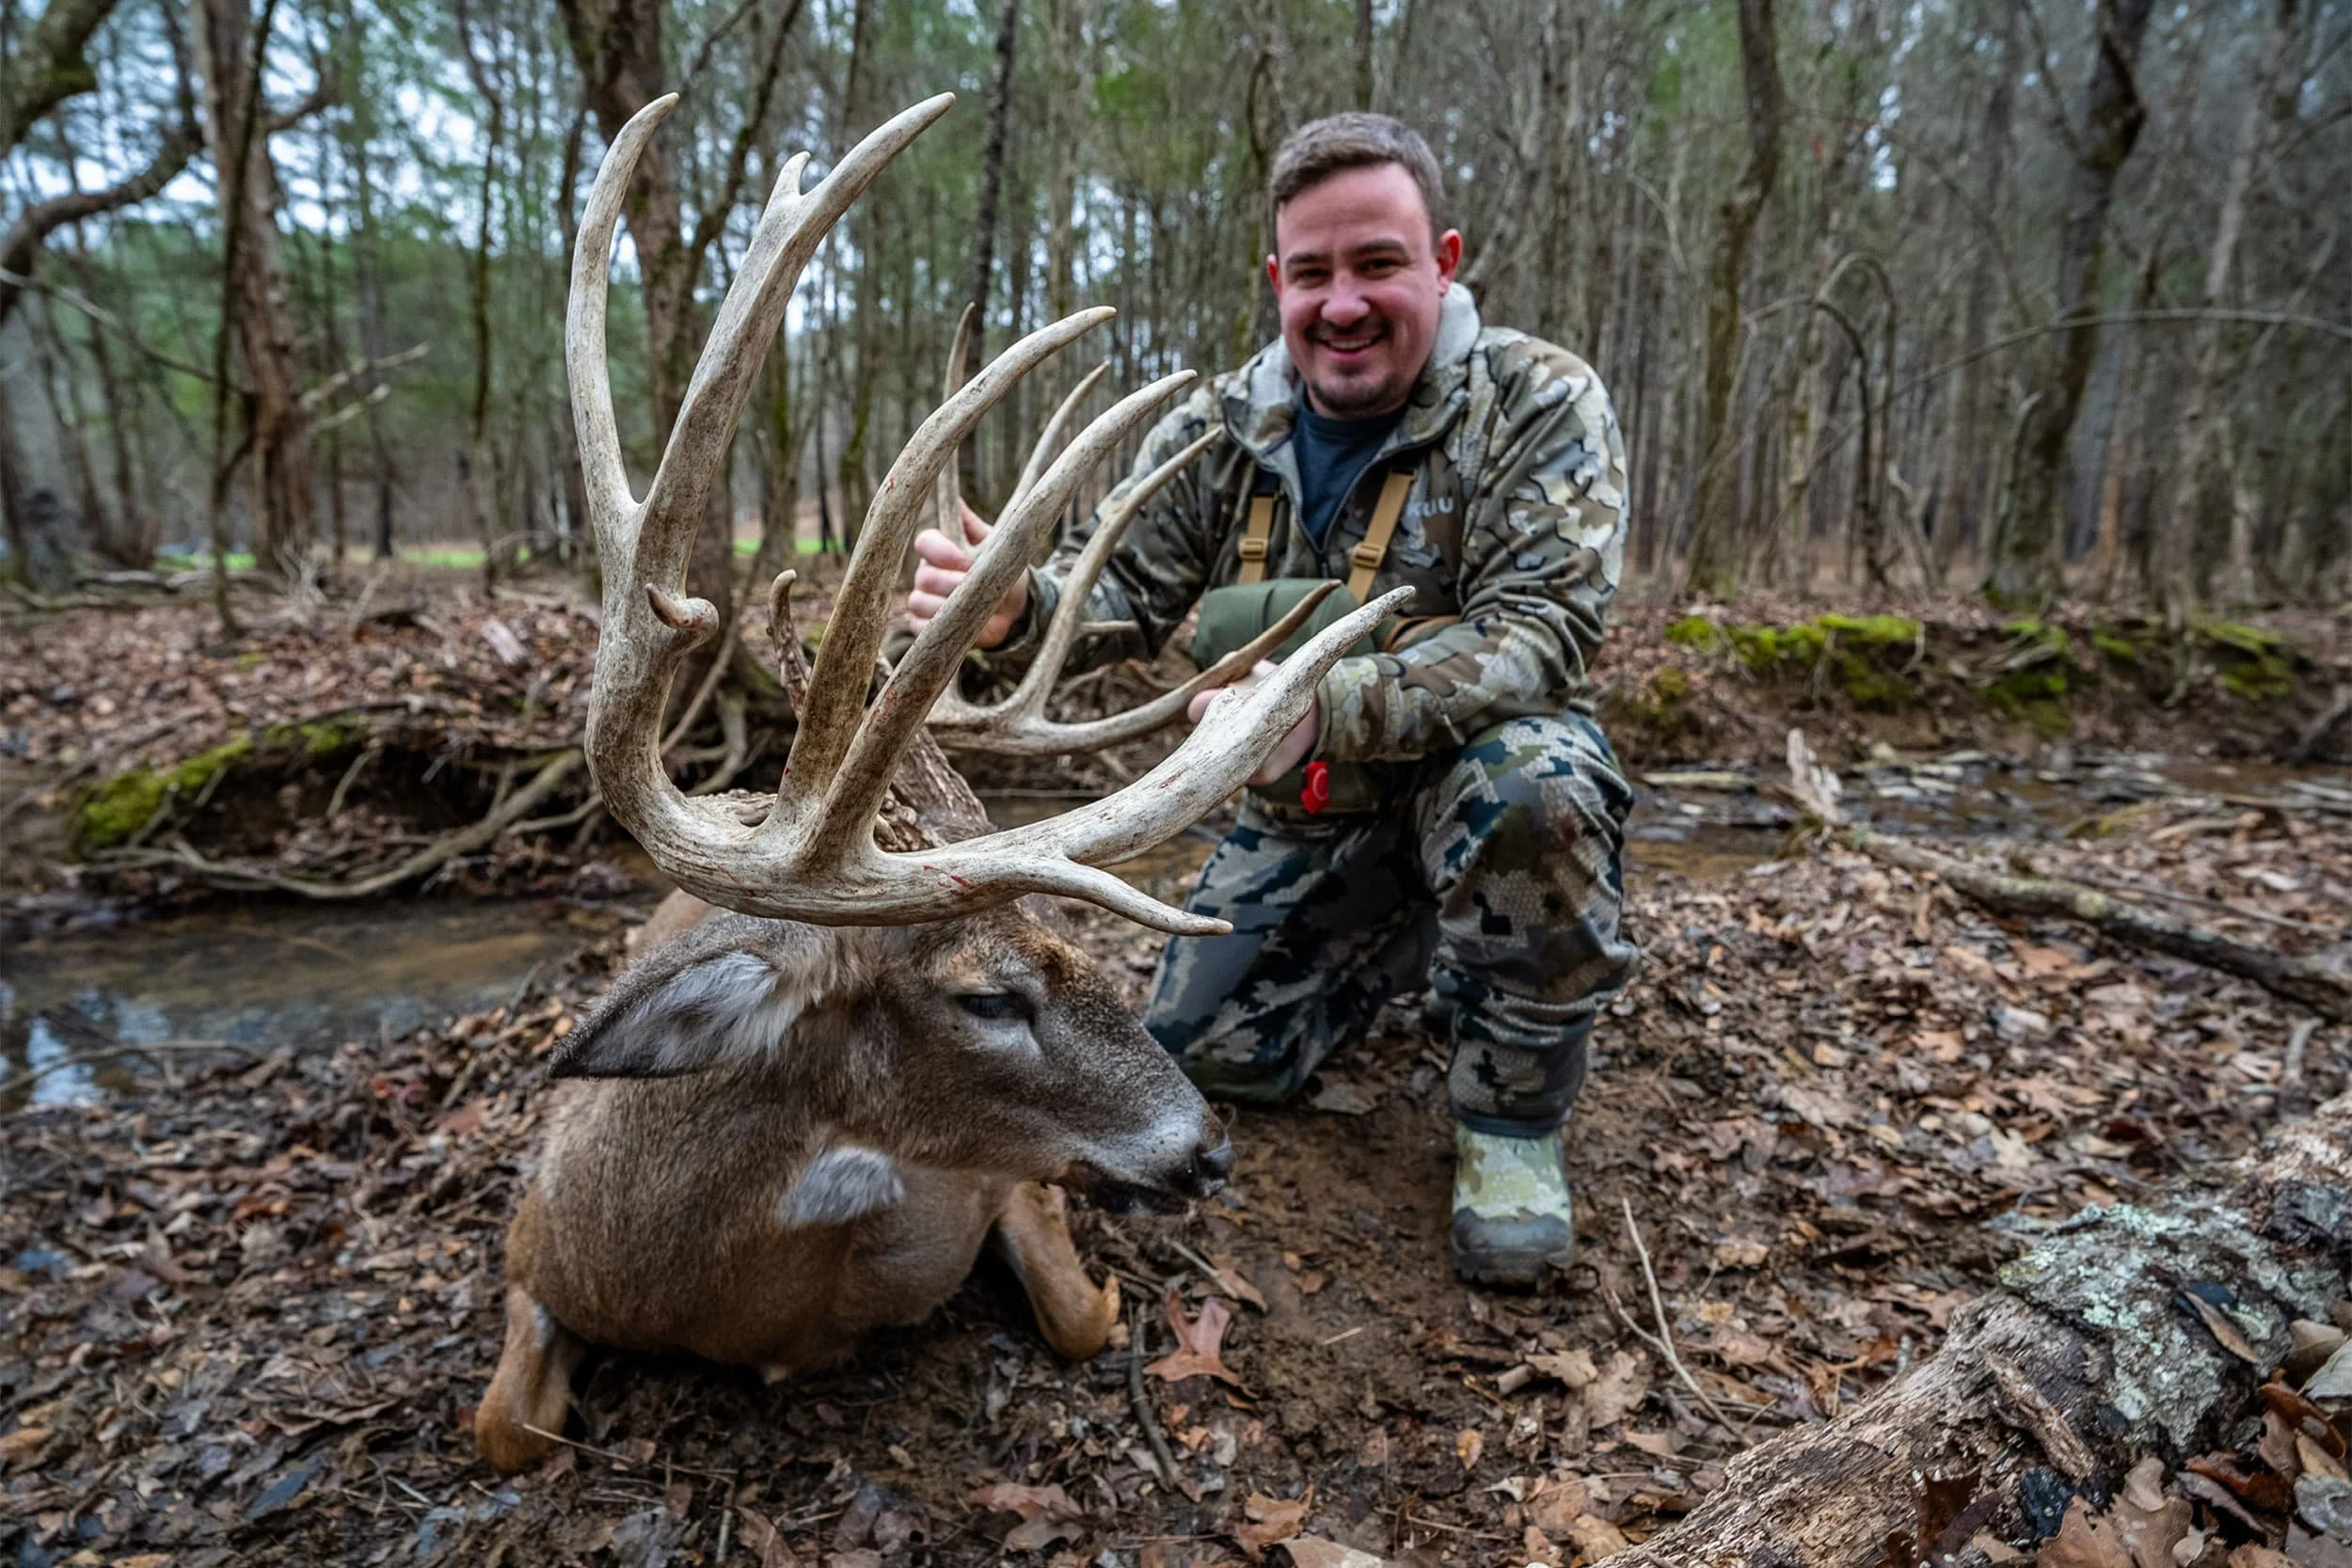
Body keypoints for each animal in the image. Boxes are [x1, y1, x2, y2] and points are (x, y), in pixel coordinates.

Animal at [473, 90, 1408, 1475]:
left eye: (1083, 945)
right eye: (986, 995)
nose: (1208, 1149)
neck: (728, 1294)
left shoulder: (1008, 1182)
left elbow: (1079, 1314)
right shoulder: (534, 1247)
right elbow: (509, 1428)